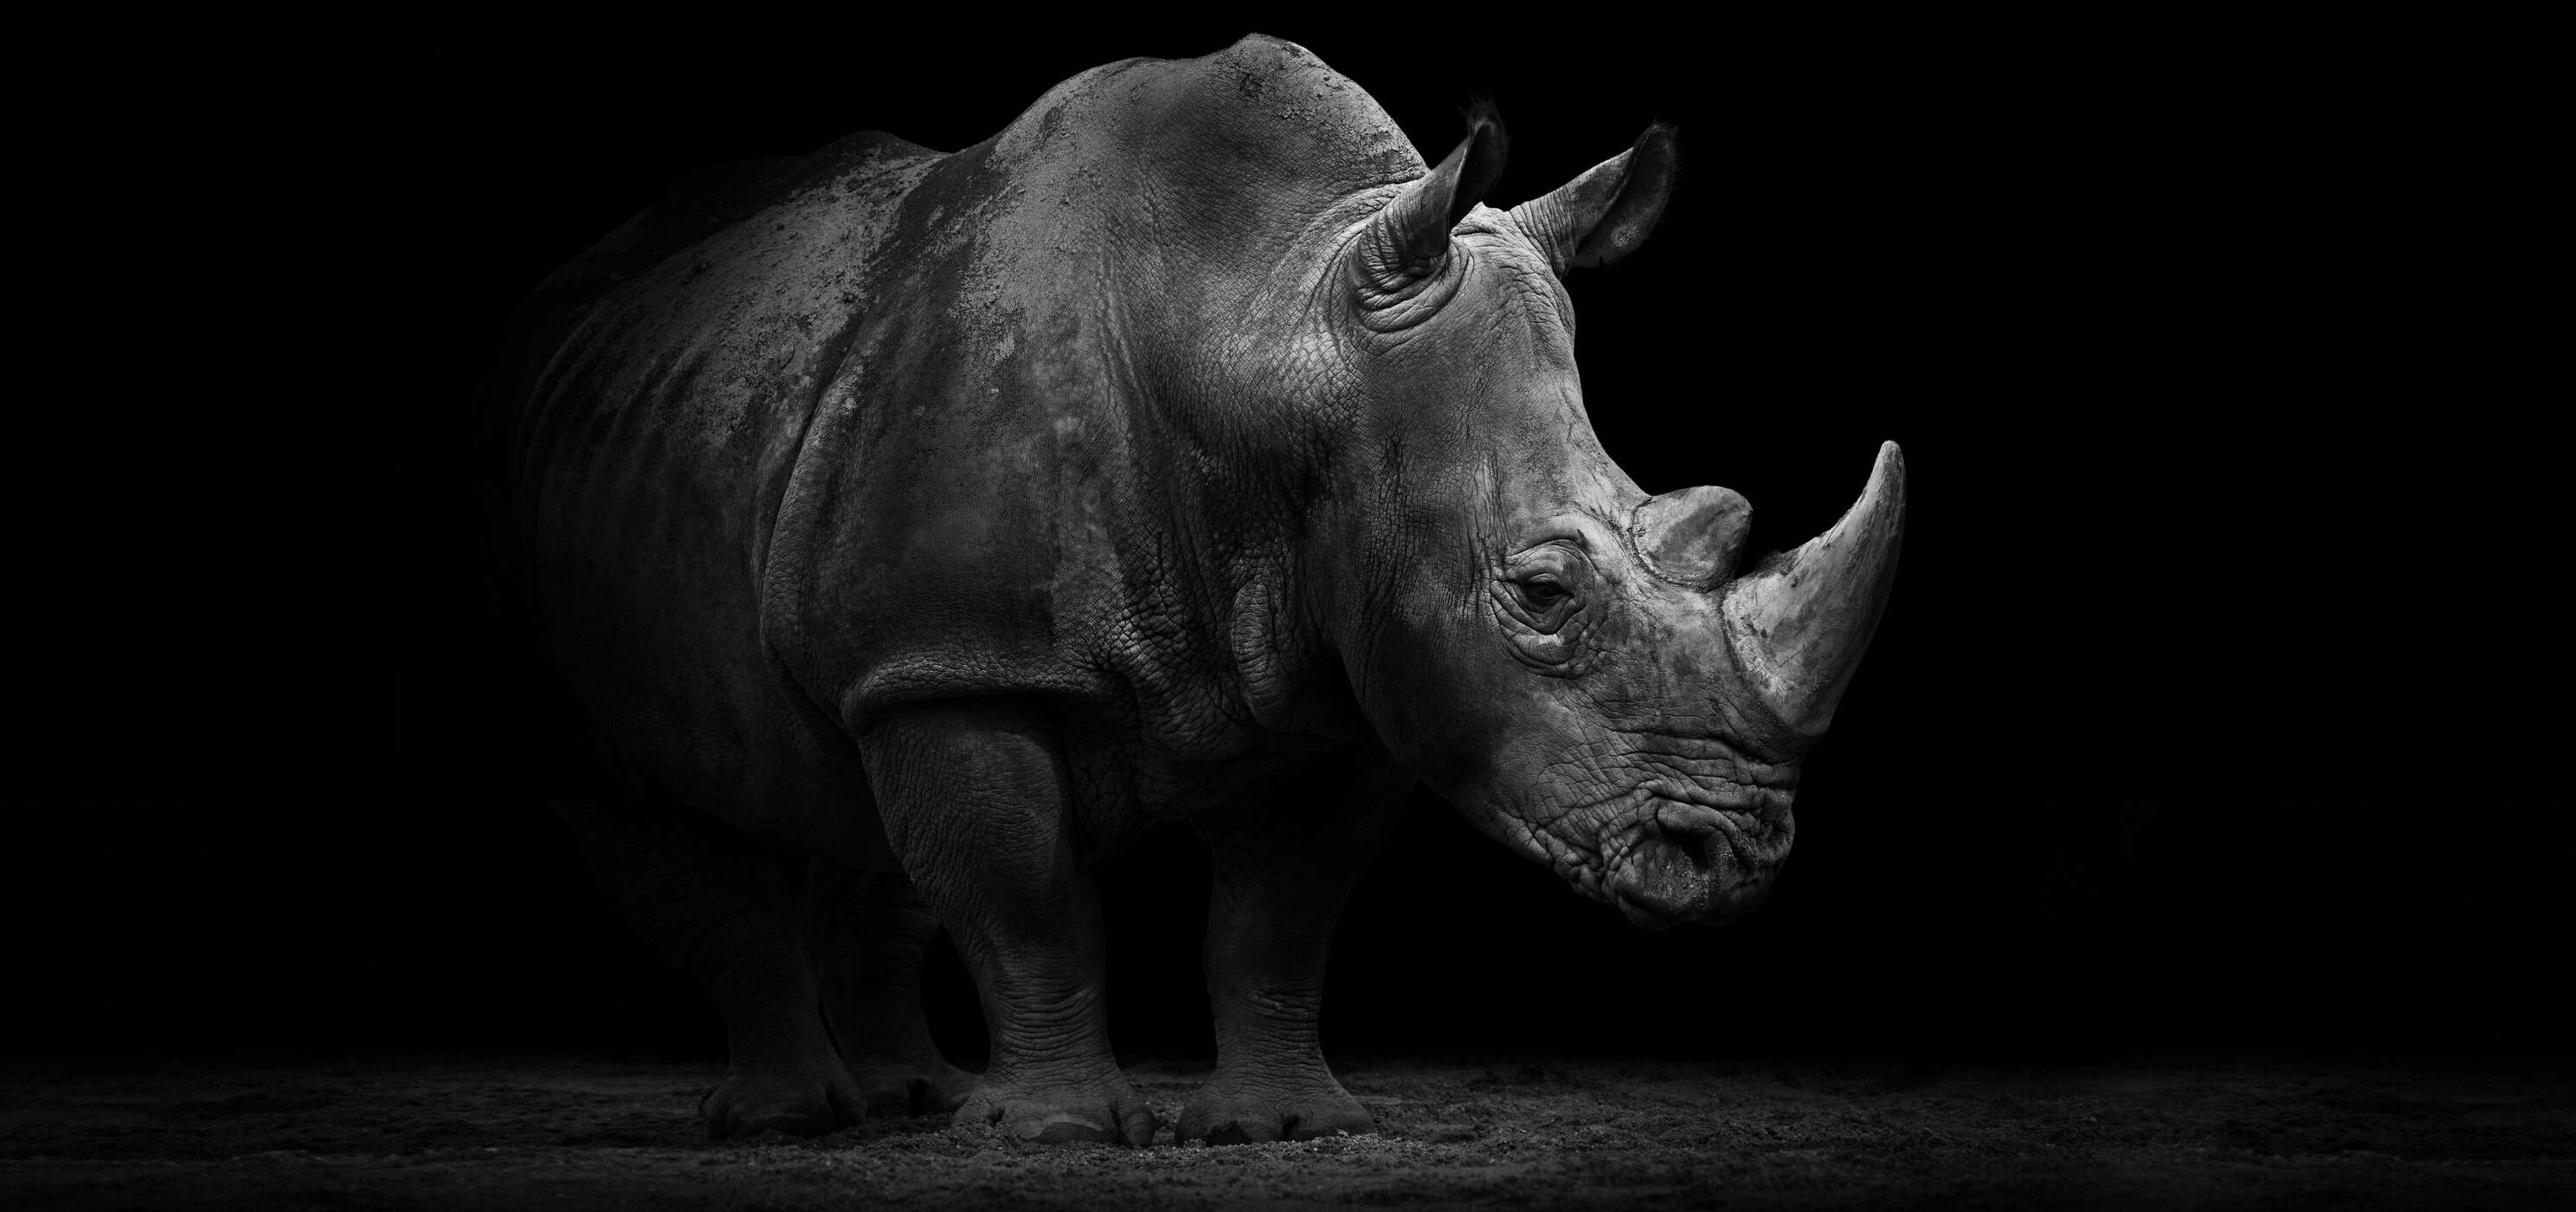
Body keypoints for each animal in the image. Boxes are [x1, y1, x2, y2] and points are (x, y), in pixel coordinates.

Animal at [497, 34, 1902, 1144]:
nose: (1735, 856)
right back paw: (793, 1121)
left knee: (857, 804)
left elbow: (1276, 919)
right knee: (632, 793)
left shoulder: (1354, 675)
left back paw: (912, 1103)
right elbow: (1022, 893)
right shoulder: (960, 652)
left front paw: (1278, 1126)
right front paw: (1058, 1135)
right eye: (1546, 592)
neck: (1266, 322)